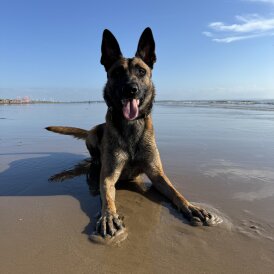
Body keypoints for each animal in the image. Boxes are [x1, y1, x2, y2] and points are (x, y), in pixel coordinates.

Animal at [46, 27, 222, 241]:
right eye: (117, 72)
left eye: (141, 71)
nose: (131, 89)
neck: (131, 126)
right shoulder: (109, 176)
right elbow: (107, 196)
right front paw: (108, 216)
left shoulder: (157, 174)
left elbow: (175, 192)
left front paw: (191, 207)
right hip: (94, 133)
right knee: (95, 156)